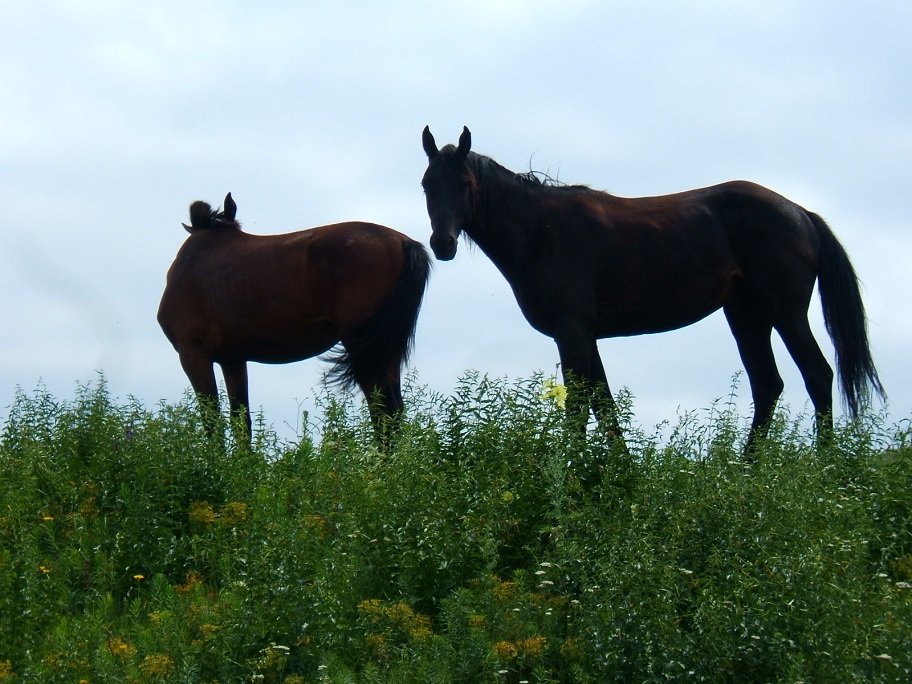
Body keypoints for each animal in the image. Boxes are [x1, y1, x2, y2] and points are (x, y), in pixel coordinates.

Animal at [159, 192, 432, 440]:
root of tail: (403, 242)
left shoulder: (194, 354)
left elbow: (212, 422)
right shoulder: (233, 359)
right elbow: (240, 421)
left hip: (365, 349)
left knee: (383, 410)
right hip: (386, 349)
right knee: (394, 410)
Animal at [420, 125, 884, 452]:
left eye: (464, 184)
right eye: (427, 184)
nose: (442, 244)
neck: (542, 231)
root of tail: (801, 213)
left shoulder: (572, 333)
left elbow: (580, 408)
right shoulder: (586, 336)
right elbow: (604, 405)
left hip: (785, 313)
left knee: (817, 375)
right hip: (746, 316)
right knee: (767, 385)